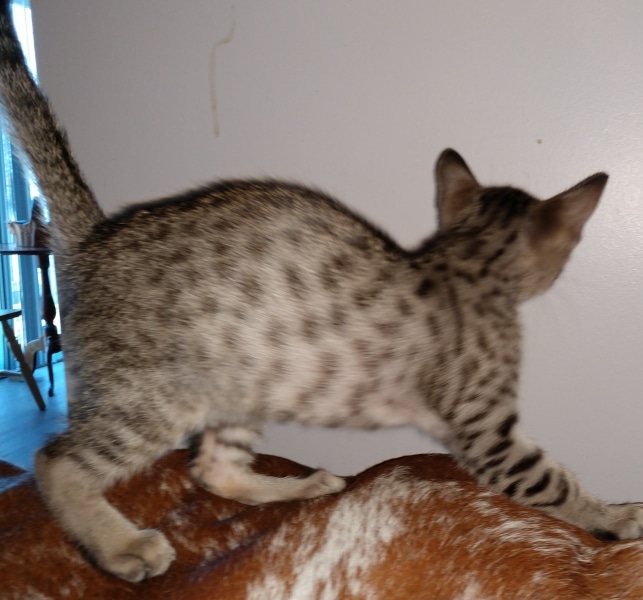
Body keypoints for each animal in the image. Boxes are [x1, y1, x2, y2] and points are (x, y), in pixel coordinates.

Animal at [1, 2, 642, 583]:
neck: (467, 263)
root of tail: (98, 235)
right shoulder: (487, 430)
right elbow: (552, 482)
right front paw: (617, 516)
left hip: (241, 384)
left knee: (211, 469)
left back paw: (307, 485)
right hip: (153, 395)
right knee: (54, 461)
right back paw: (123, 547)